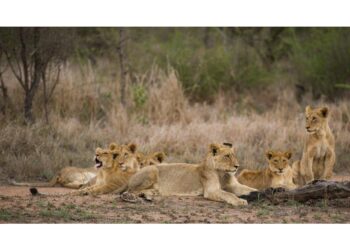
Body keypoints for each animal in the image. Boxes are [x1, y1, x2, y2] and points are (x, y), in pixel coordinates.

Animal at [119, 144, 256, 206]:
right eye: (227, 156)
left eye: (233, 155)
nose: (237, 166)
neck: (223, 173)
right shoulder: (211, 190)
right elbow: (228, 194)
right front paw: (240, 201)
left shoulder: (234, 185)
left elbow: (249, 188)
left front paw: (258, 192)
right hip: (152, 170)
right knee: (129, 191)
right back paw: (142, 195)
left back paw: (152, 193)